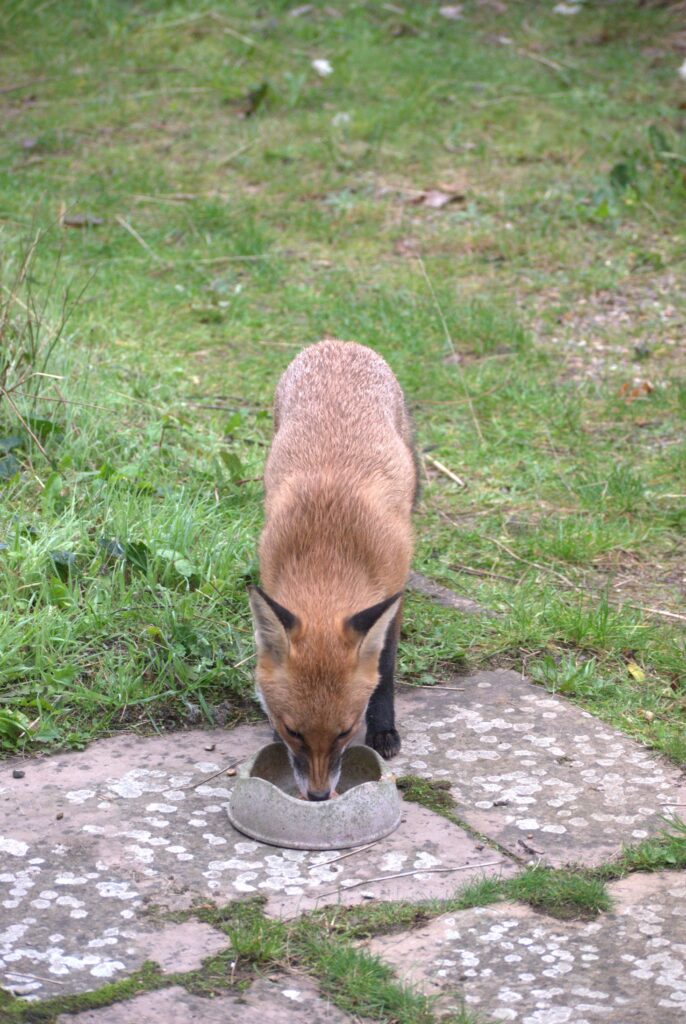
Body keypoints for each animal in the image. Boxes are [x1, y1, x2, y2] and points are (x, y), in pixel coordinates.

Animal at [248, 339, 415, 802]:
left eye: (344, 733)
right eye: (293, 732)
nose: (319, 796)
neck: (329, 554)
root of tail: (337, 343)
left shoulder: (394, 587)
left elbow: (385, 668)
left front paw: (383, 730)